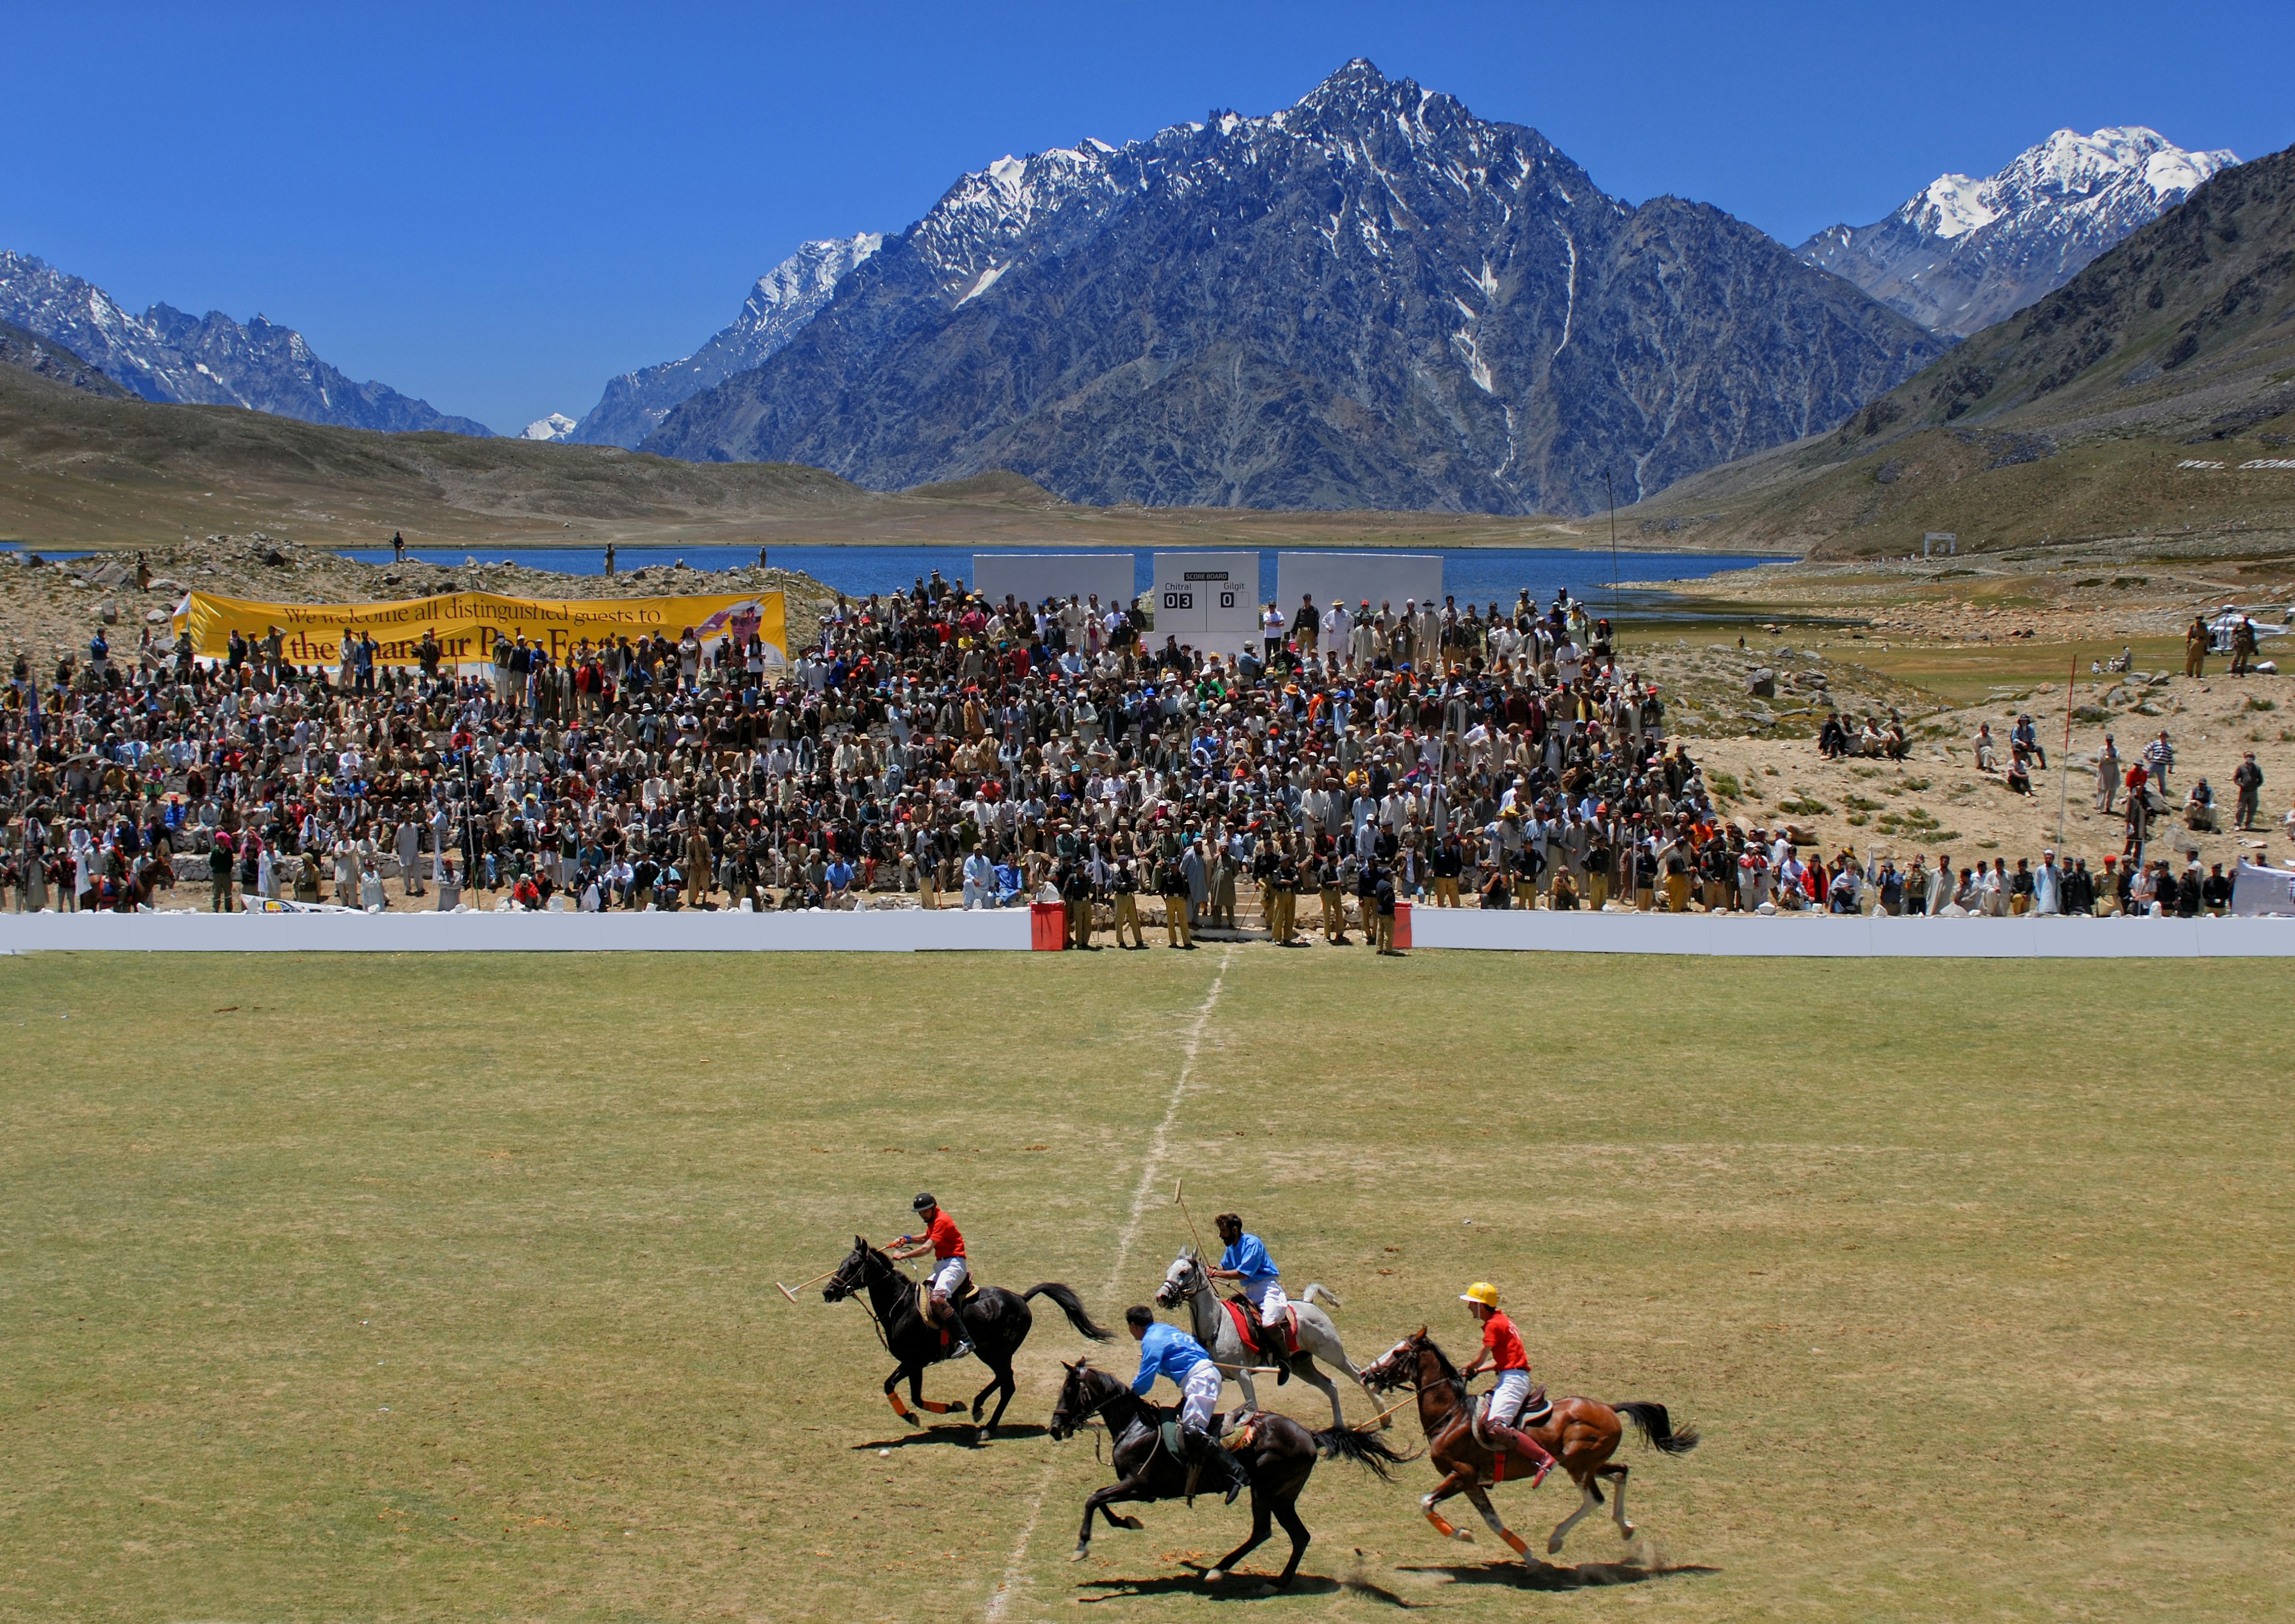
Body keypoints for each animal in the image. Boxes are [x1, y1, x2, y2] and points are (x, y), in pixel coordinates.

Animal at [826, 1229, 1110, 1431]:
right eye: (841, 1262)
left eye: (853, 1265)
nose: (828, 1292)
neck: (901, 1305)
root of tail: (1022, 1298)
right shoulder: (915, 1364)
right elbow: (910, 1394)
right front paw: (948, 1408)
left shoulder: (913, 1361)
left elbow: (896, 1389)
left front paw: (916, 1415)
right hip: (990, 1351)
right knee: (1003, 1378)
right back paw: (977, 1406)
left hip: (996, 1351)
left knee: (1008, 1384)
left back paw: (989, 1427)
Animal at [1046, 1358, 1404, 1587]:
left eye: (1069, 1391)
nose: (1054, 1428)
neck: (1135, 1426)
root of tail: (1309, 1434)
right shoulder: (1131, 1486)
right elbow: (1100, 1501)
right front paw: (1125, 1523)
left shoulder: (1138, 1485)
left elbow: (1094, 1499)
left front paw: (1082, 1546)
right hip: (1282, 1496)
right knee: (1291, 1535)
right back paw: (1262, 1578)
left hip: (1267, 1491)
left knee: (1271, 1532)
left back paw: (1231, 1572)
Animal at [1156, 1248, 1367, 1431]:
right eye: (1168, 1271)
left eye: (1183, 1272)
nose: (1162, 1297)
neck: (1216, 1325)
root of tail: (1309, 1303)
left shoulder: (1242, 1372)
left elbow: (1252, 1406)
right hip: (1302, 1365)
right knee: (1330, 1386)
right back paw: (1339, 1426)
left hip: (1332, 1352)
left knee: (1358, 1374)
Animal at [1349, 1330, 1698, 1559]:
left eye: (1398, 1353)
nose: (1366, 1374)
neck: (1452, 1415)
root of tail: (1611, 1408)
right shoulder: (1472, 1481)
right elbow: (1492, 1521)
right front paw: (1525, 1555)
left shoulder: (1462, 1474)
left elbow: (1426, 1503)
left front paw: (1463, 1534)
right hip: (1590, 1462)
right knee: (1621, 1471)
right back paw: (1624, 1527)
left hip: (1576, 1463)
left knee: (1593, 1499)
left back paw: (1556, 1539)